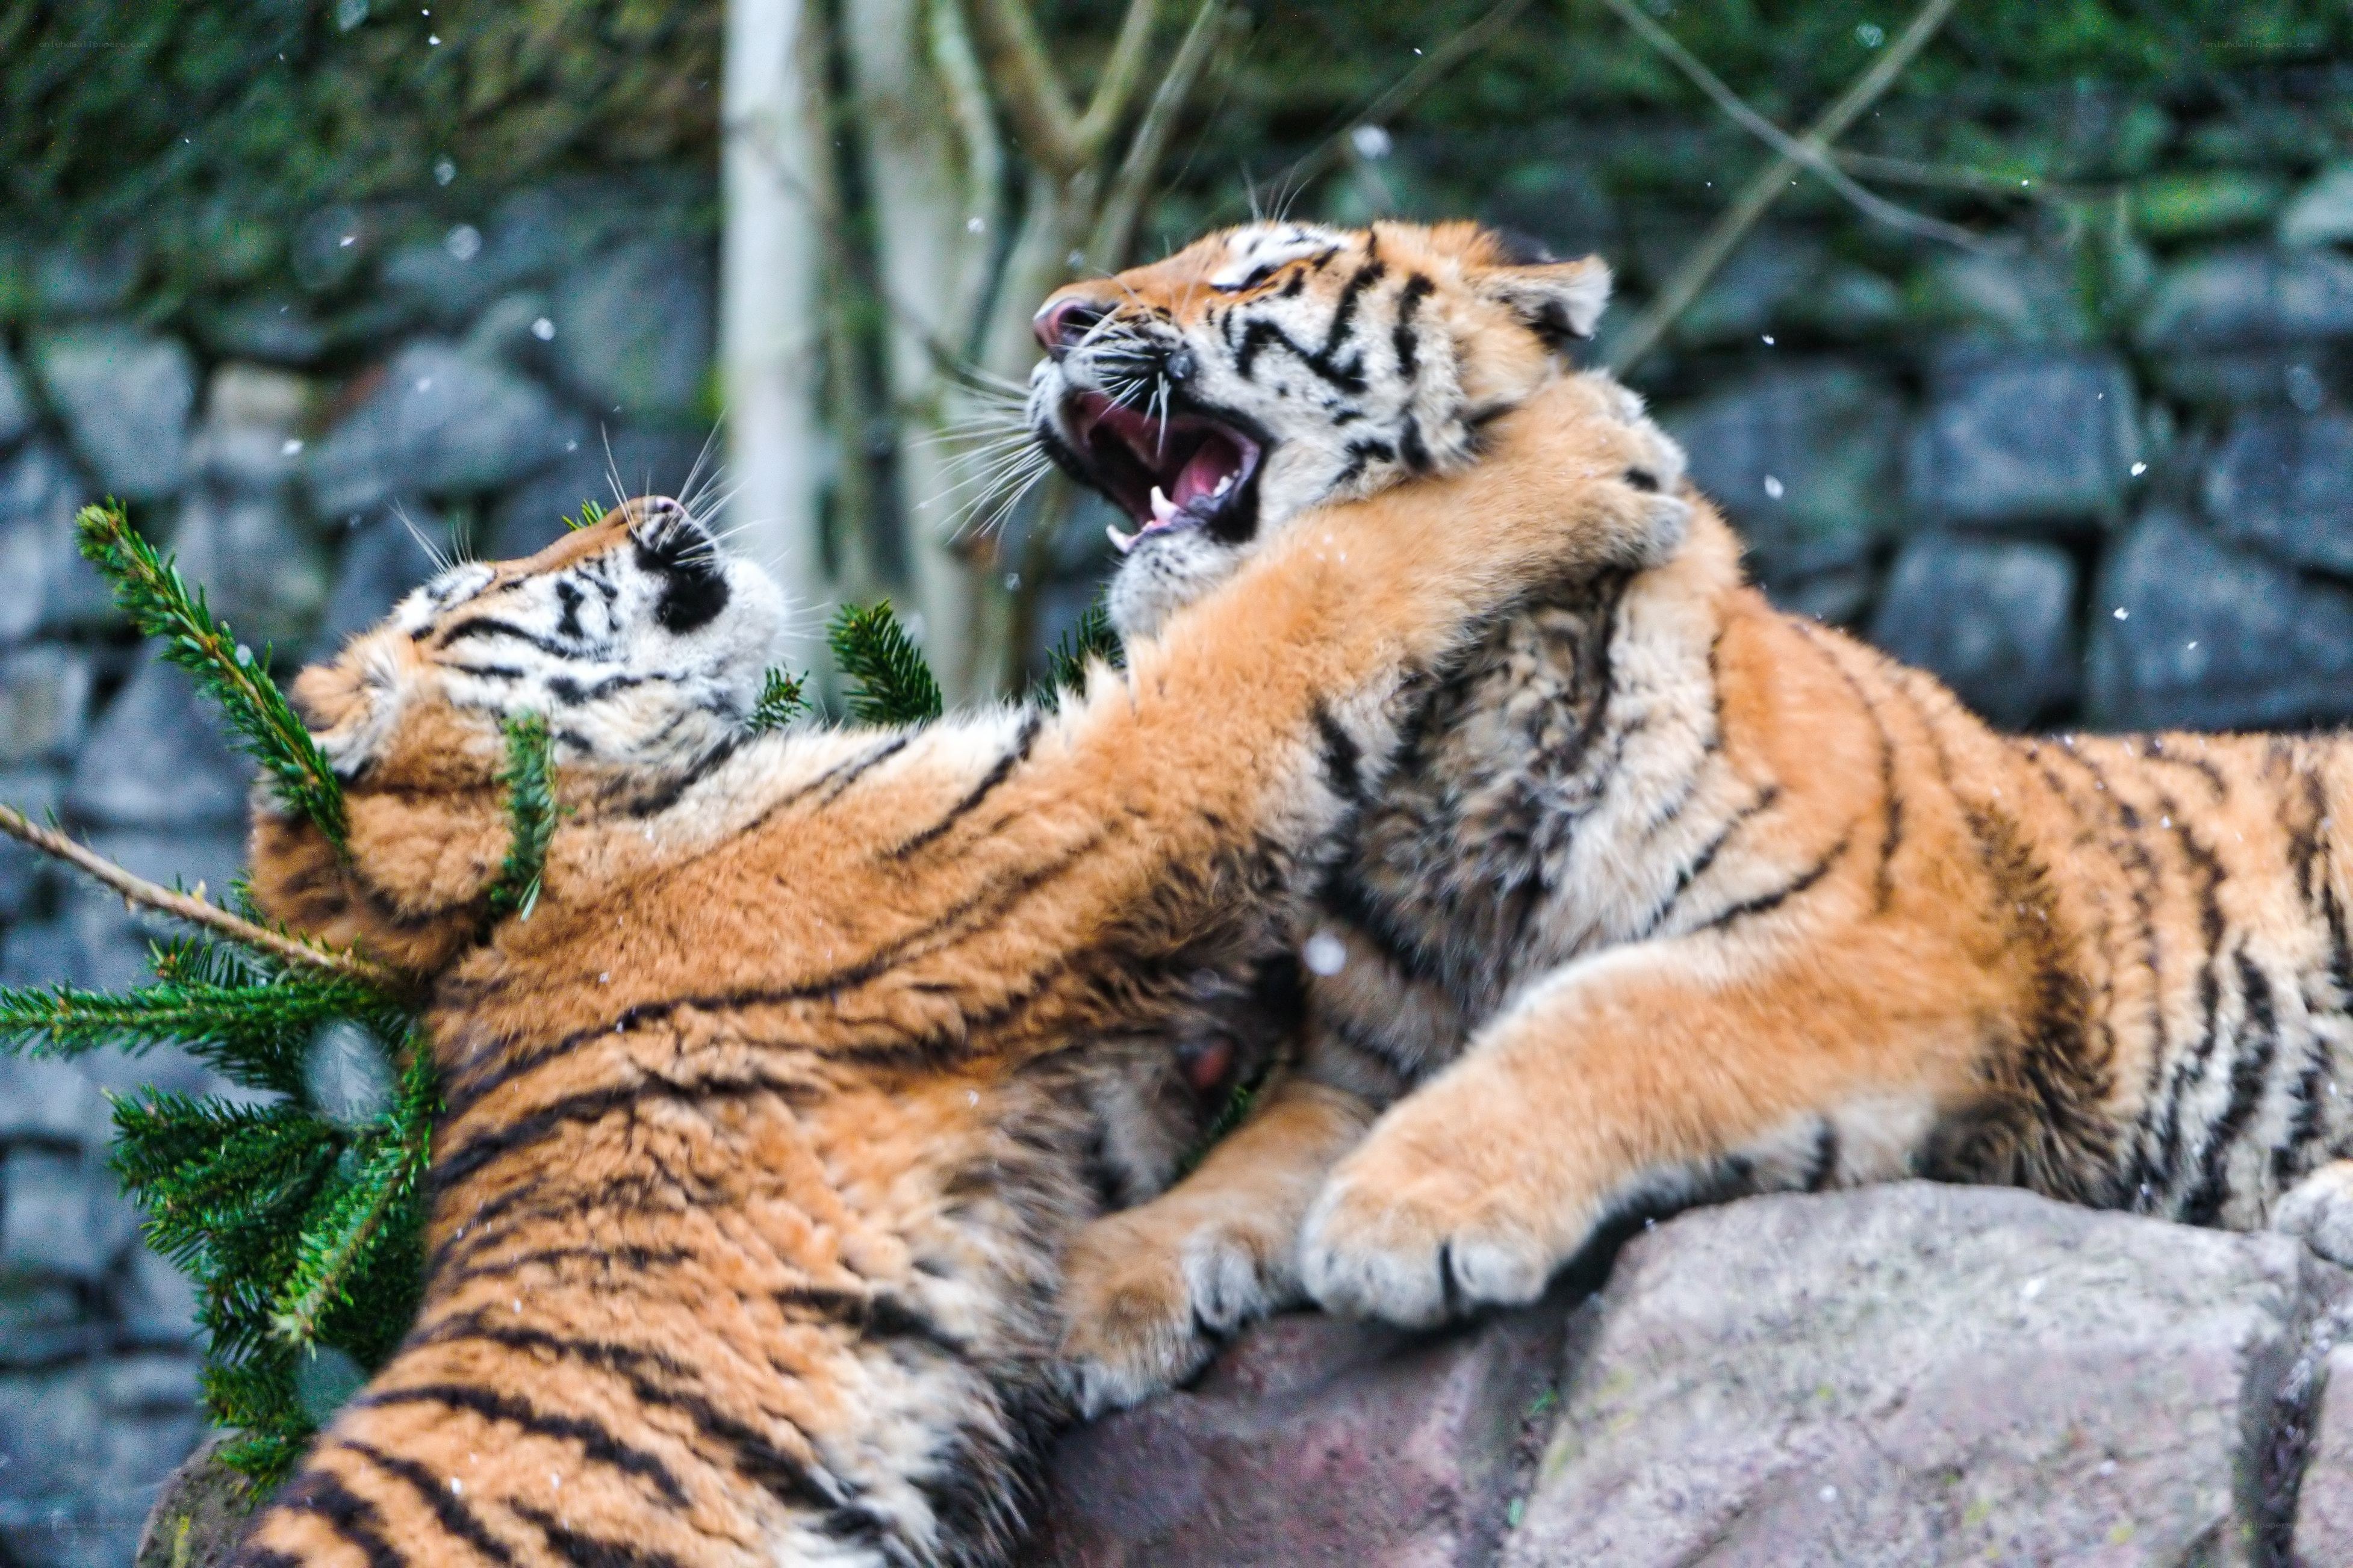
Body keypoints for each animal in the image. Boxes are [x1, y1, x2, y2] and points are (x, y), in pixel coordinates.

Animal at [221, 374, 1692, 1565]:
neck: (528, 863)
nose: (650, 500)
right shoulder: (1071, 805)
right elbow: (1315, 589)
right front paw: (1582, 444)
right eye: (474, 587)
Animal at [1030, 215, 2353, 1418]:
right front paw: (1097, 1298)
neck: (1438, 750)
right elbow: (1241, 1166)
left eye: (1257, 270)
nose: (1052, 321)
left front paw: (1408, 1214)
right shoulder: (1358, 1069)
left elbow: (1609, 1016)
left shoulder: (1886, 952)